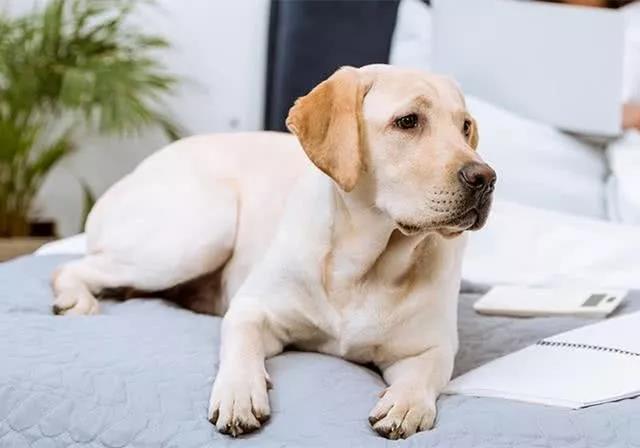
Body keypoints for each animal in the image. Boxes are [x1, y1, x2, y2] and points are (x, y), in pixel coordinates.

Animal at [52, 64, 495, 439]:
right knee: (70, 267)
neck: (365, 263)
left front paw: (406, 405)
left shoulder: (431, 347)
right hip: (200, 233)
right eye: (408, 121)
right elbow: (241, 344)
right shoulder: (253, 309)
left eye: (465, 126)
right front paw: (239, 392)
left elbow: (425, 373)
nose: (486, 177)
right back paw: (75, 299)